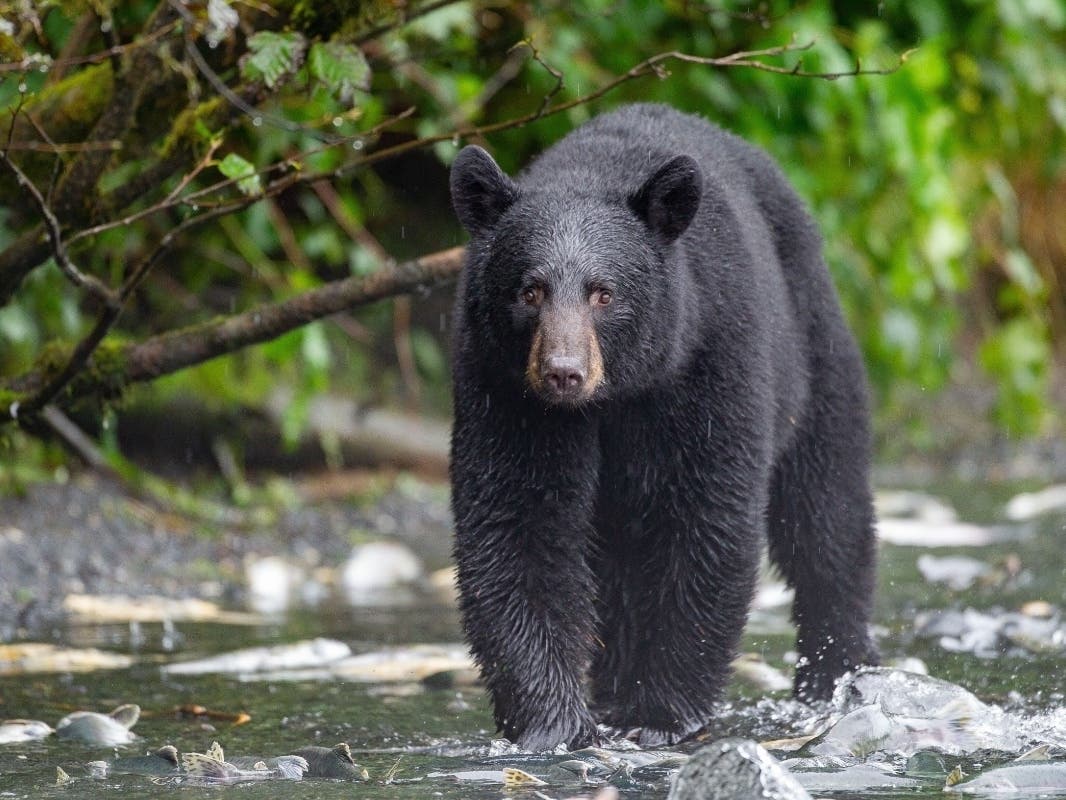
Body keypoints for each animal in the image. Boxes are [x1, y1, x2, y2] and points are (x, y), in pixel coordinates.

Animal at [448, 103, 879, 751]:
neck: (616, 396)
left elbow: (702, 518)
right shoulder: (502, 389)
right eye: (530, 290)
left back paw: (837, 674)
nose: (563, 373)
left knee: (826, 511)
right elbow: (515, 522)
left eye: (604, 293)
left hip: (814, 345)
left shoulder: (708, 358)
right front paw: (554, 724)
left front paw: (659, 716)